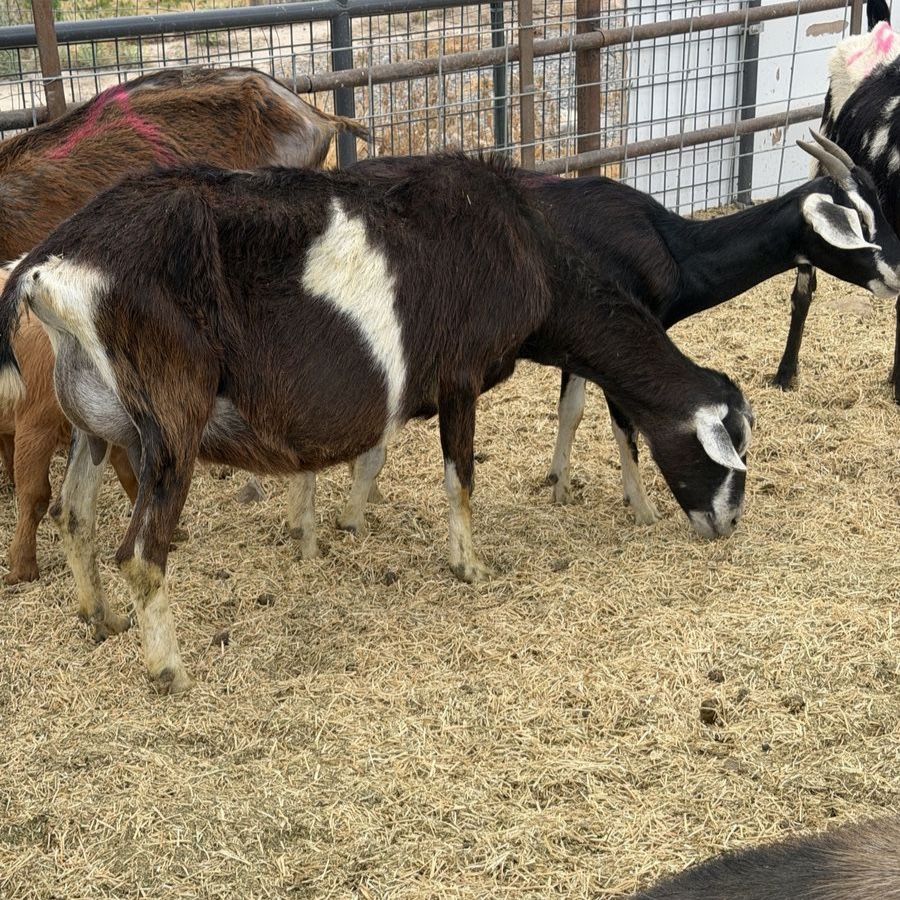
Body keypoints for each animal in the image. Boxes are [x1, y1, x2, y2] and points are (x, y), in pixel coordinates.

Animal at [0, 154, 753, 692]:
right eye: (728, 453)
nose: (726, 526)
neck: (527, 249)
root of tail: (48, 267)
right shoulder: (460, 376)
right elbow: (460, 477)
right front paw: (470, 565)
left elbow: (372, 455)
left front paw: (337, 525)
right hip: (170, 424)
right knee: (140, 553)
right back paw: (168, 671)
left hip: (97, 424)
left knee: (74, 514)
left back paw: (97, 618)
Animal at [328, 134, 900, 535]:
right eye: (859, 221)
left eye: (879, 205)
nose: (895, 273)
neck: (669, 245)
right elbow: (625, 426)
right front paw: (641, 506)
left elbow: (572, 411)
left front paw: (558, 484)